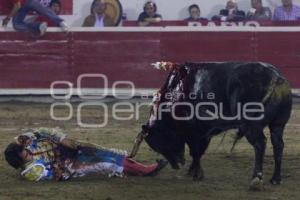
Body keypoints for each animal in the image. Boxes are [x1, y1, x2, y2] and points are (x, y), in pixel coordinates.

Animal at [135, 61, 292, 188]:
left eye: (158, 143)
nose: (176, 165)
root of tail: (277, 78)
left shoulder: (195, 131)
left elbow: (195, 151)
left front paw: (197, 174)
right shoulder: (205, 133)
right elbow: (199, 152)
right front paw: (192, 171)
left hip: (251, 126)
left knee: (260, 144)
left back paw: (256, 178)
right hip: (278, 124)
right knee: (278, 144)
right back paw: (275, 179)